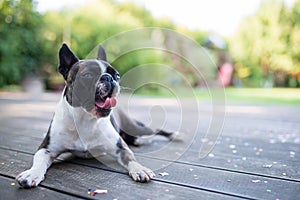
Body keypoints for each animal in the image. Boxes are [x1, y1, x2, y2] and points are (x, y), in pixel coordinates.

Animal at [15, 43, 178, 188]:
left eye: (117, 75)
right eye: (87, 75)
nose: (109, 78)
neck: (85, 119)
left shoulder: (121, 148)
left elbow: (131, 158)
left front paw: (140, 169)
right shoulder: (46, 149)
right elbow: (39, 161)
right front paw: (32, 173)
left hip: (136, 127)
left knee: (154, 131)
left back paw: (171, 135)